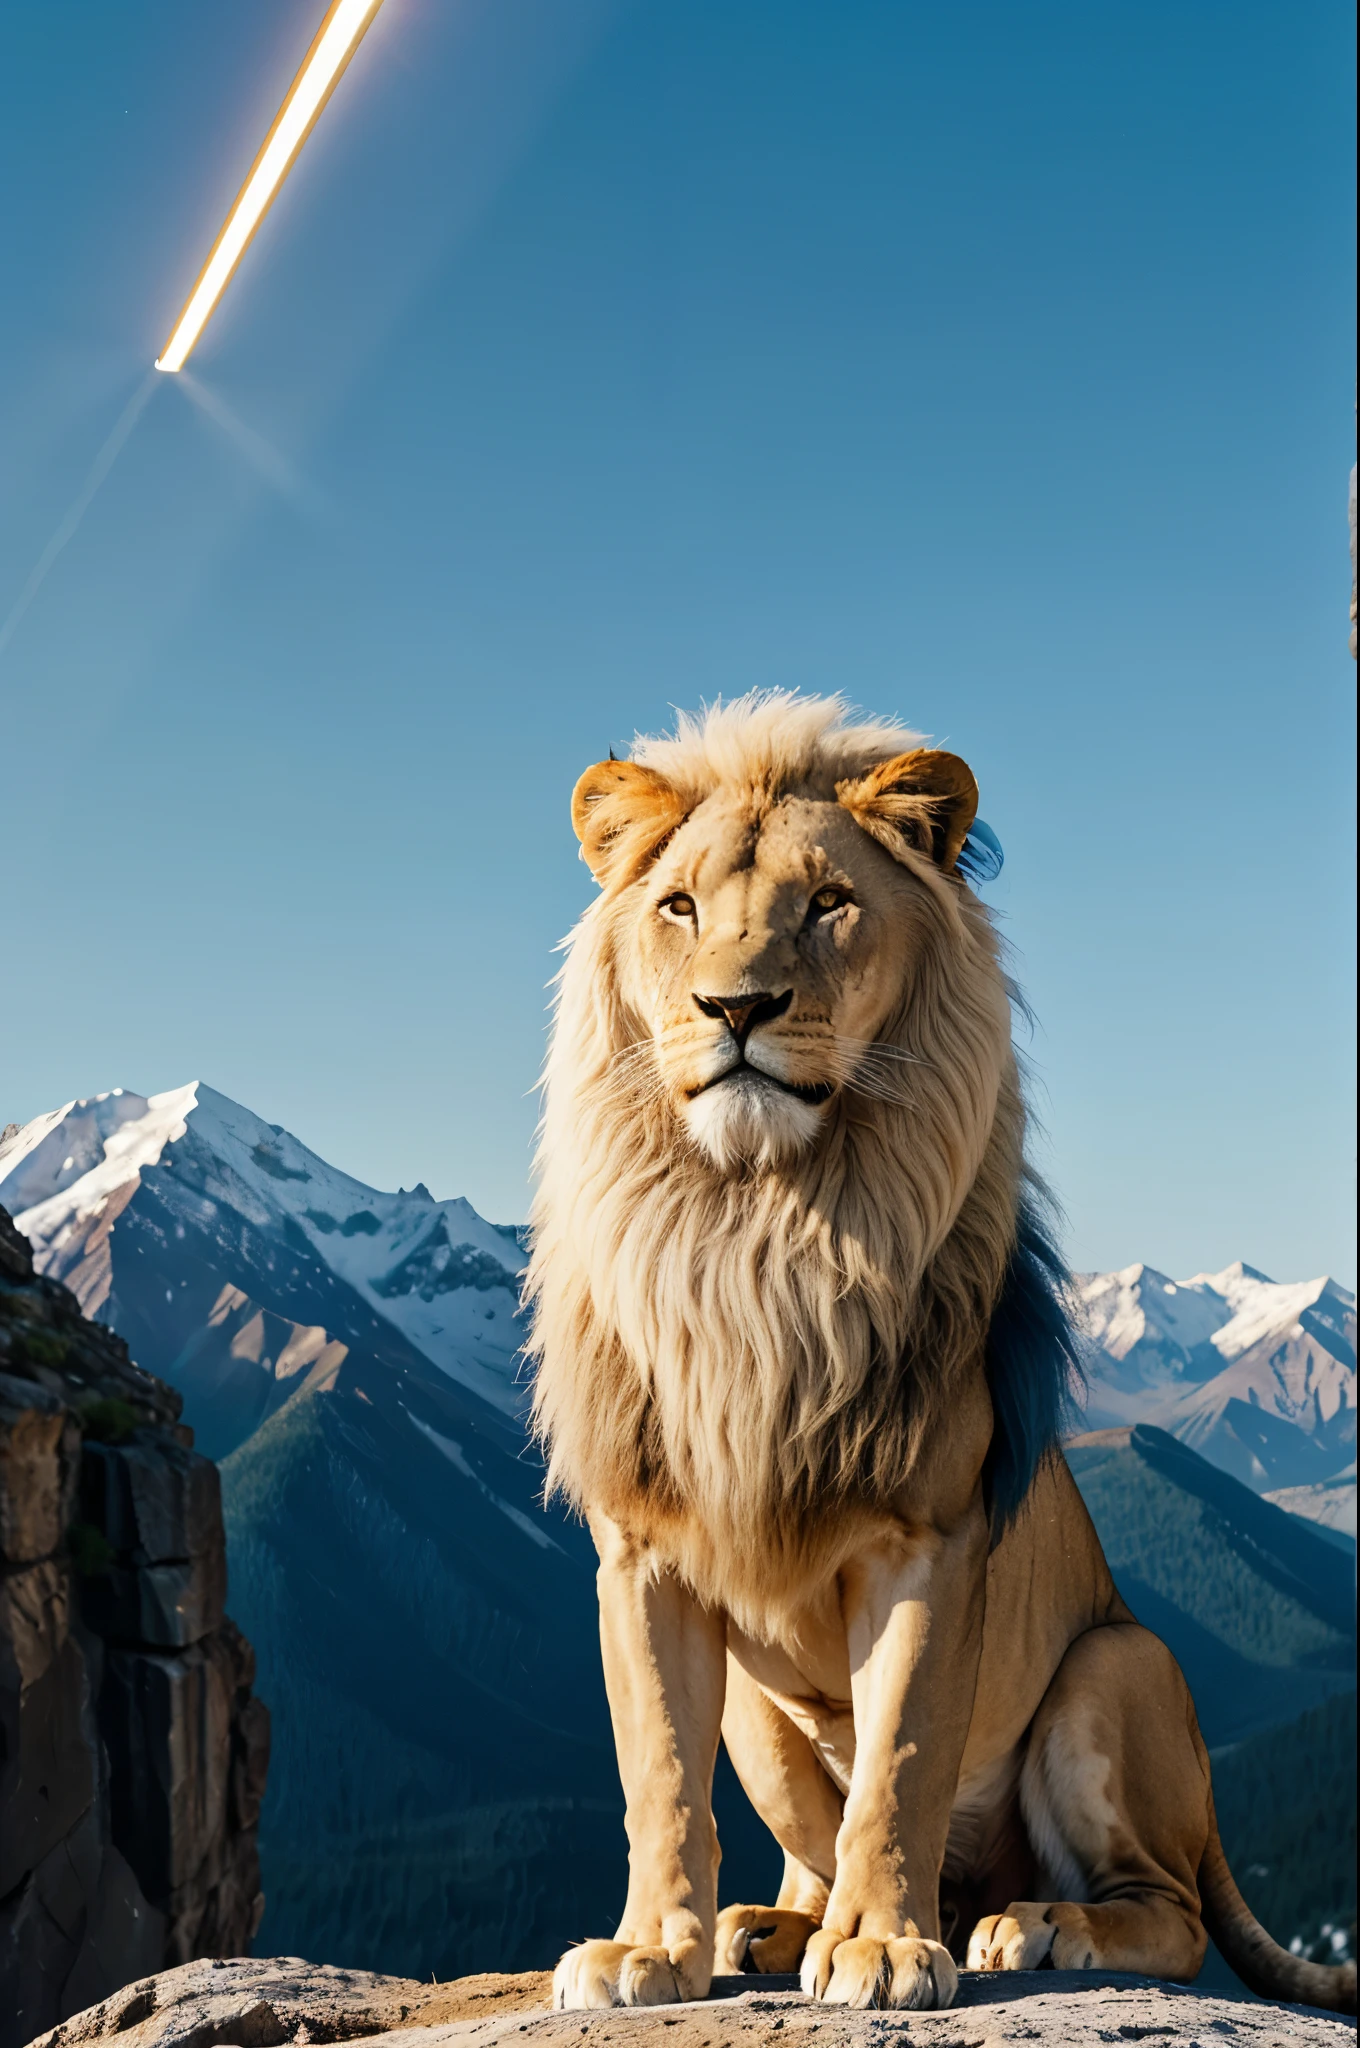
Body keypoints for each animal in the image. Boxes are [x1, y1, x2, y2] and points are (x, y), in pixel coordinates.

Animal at [522, 692, 1360, 2015]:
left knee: (1166, 1909)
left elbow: (901, 1759)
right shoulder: (641, 1553)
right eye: (680, 907)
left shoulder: (928, 1536)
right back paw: (763, 1925)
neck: (755, 1233)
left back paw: (1028, 1923)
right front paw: (651, 1946)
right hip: (759, 1714)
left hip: (1114, 1663)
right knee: (797, 1840)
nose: (735, 1009)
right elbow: (656, 1770)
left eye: (827, 902)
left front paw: (878, 1944)